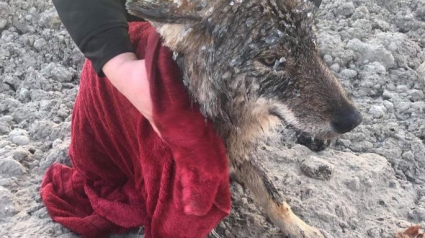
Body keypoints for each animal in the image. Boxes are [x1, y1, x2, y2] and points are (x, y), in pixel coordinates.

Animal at [126, 0, 362, 236]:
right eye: (270, 60)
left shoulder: (242, 149)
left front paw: (301, 228)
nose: (353, 119)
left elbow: (273, 196)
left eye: (313, 47)